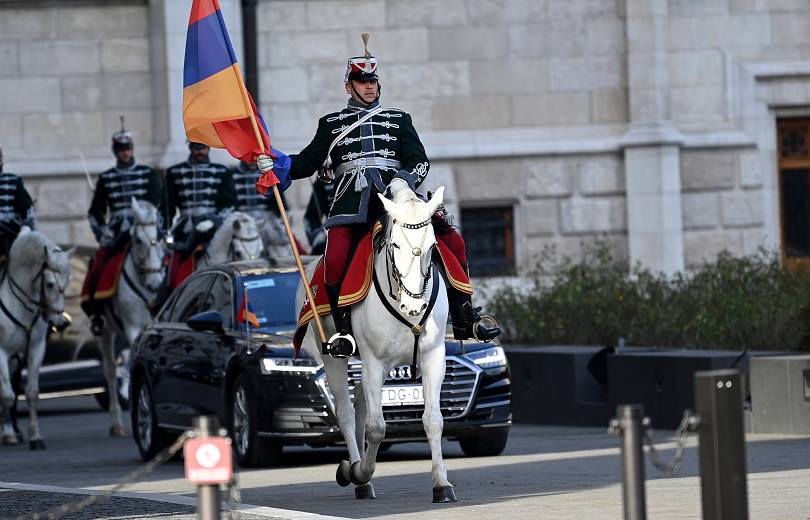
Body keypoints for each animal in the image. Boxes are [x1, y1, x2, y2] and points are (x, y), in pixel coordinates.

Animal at [0, 230, 72, 448]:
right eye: (49, 283)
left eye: (67, 283)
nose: (60, 322)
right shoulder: (1, 351)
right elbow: (7, 395)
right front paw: (8, 434)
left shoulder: (35, 348)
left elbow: (31, 393)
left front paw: (35, 437)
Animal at [99, 201, 164, 436]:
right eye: (137, 239)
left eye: (159, 236)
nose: (155, 284)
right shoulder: (132, 328)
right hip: (105, 331)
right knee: (110, 370)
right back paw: (117, 422)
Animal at [296, 185, 454, 502]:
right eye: (395, 245)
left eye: (433, 245)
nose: (415, 306)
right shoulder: (374, 363)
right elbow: (377, 427)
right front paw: (360, 471)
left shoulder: (433, 358)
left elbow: (433, 420)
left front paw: (441, 484)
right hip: (334, 356)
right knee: (346, 411)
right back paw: (355, 472)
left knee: (359, 400)